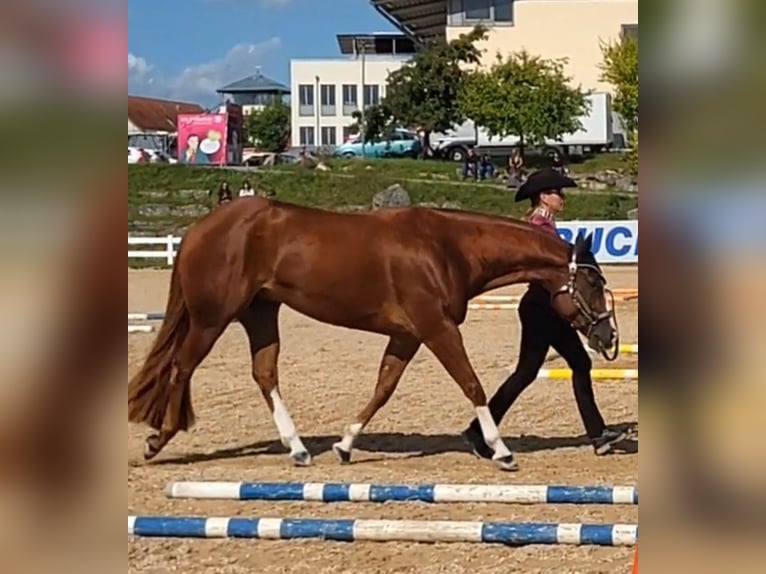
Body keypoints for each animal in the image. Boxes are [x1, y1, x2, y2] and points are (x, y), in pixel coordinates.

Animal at [128, 197, 617, 471]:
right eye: (594, 283)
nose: (609, 338)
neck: (447, 247)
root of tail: (199, 228)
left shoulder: (408, 335)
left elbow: (383, 388)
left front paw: (345, 445)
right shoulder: (436, 327)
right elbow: (472, 383)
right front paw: (501, 451)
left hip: (260, 314)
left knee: (264, 374)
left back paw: (299, 449)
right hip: (213, 318)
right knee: (182, 366)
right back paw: (157, 440)